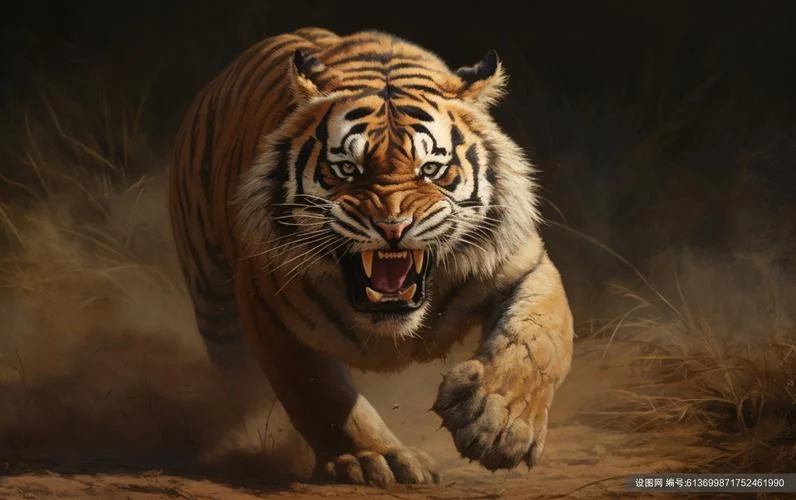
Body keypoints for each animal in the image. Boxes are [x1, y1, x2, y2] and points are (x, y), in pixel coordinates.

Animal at [169, 27, 574, 487]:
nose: (393, 226)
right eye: (347, 169)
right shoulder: (267, 303)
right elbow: (319, 393)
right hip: (215, 306)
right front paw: (375, 459)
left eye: (431, 169)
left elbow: (539, 340)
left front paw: (497, 425)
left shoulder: (524, 263)